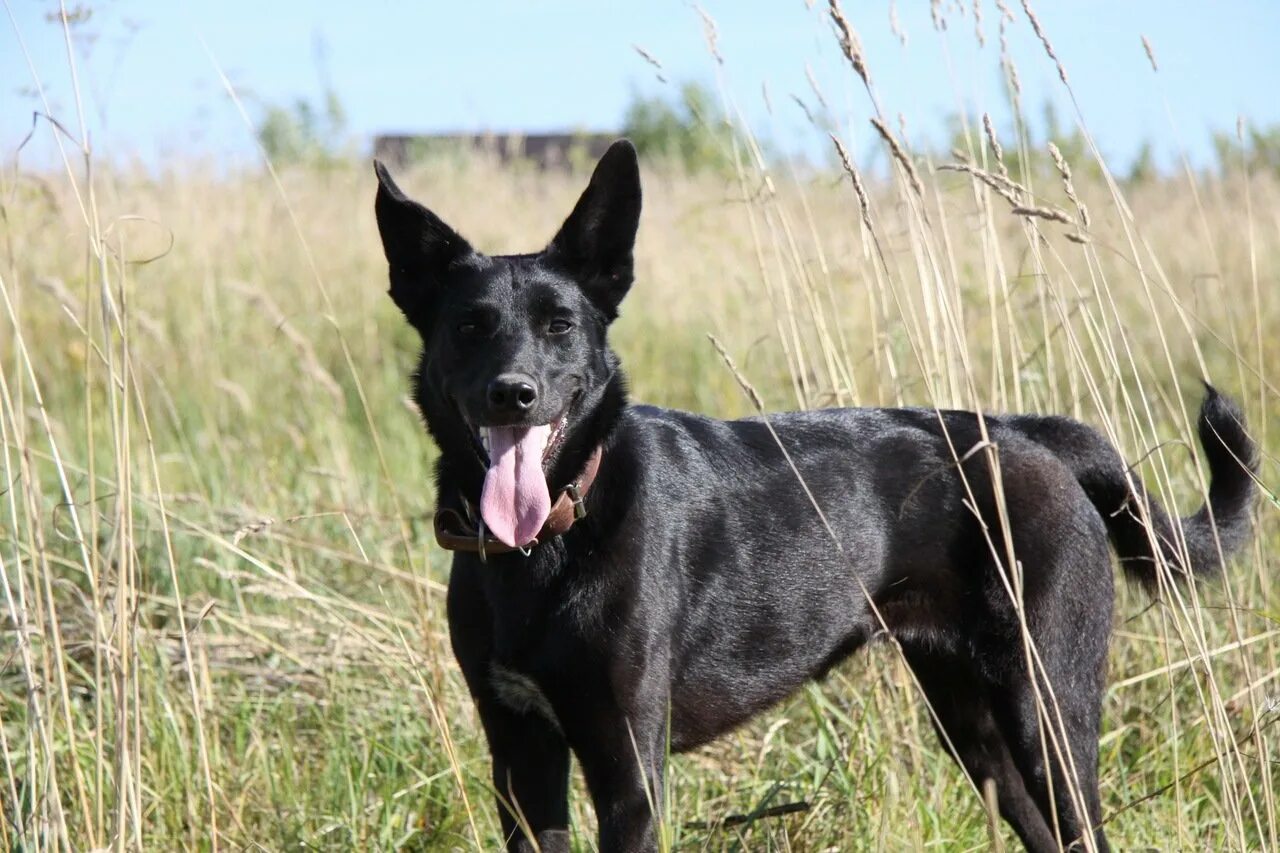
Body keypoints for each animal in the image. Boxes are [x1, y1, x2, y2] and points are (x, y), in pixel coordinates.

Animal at [373, 142, 1254, 845]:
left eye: (560, 324)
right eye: (470, 325)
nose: (512, 394)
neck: (548, 542)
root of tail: (1025, 432)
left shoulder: (629, 768)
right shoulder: (520, 757)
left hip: (1048, 708)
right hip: (971, 718)